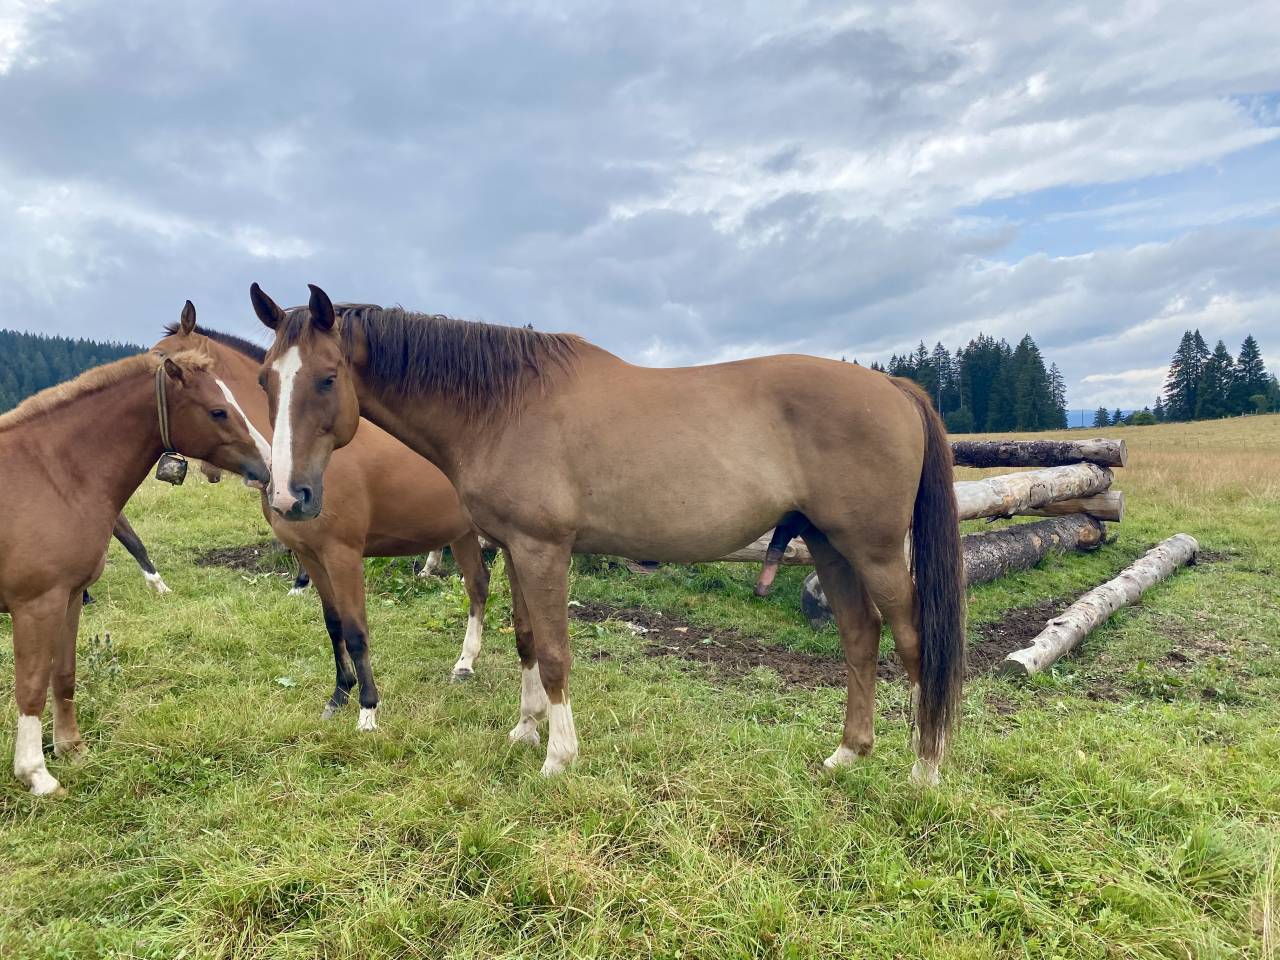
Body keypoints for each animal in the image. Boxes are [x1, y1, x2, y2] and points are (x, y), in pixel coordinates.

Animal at [0, 324, 270, 795]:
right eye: (218, 411)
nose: (268, 466)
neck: (50, 475)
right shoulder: (35, 605)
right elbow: (31, 687)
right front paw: (37, 774)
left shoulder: (68, 598)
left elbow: (63, 673)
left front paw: (71, 748)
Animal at [153, 307, 491, 732]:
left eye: (162, 360)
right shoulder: (310, 554)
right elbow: (333, 626)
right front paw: (339, 696)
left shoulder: (342, 555)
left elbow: (356, 629)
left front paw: (367, 710)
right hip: (461, 533)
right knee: (477, 585)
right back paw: (464, 664)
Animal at [250, 283, 966, 784]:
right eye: (264, 380)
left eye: (328, 378)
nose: (289, 495)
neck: (503, 405)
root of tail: (894, 387)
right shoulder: (515, 549)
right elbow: (526, 639)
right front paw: (526, 731)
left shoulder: (543, 549)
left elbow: (556, 652)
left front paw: (558, 757)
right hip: (827, 543)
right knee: (860, 637)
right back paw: (848, 754)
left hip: (873, 550)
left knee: (913, 643)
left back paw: (925, 770)